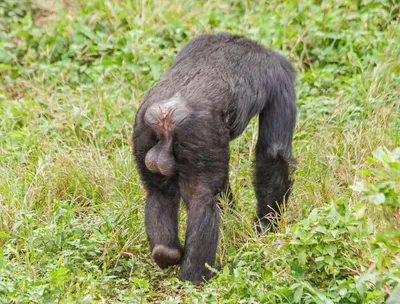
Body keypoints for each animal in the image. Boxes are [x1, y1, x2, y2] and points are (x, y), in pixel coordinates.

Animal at [133, 32, 296, 284]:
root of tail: (166, 115)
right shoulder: (281, 76)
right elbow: (272, 151)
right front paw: (266, 225)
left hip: (143, 130)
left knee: (158, 192)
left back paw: (166, 252)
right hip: (198, 133)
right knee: (201, 198)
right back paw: (197, 277)